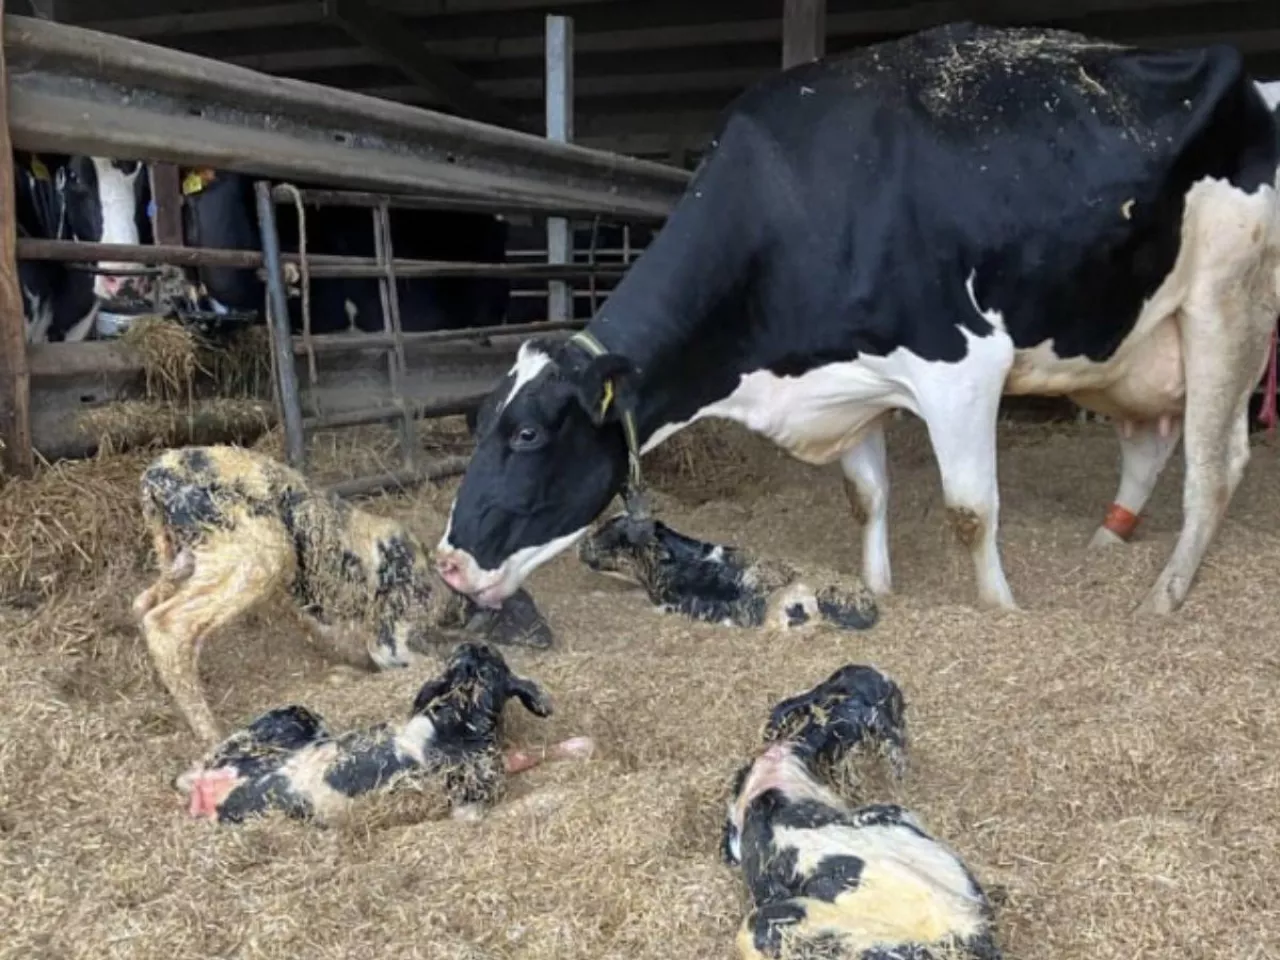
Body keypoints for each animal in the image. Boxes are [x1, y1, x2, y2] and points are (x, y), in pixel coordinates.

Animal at [136, 448, 555, 747]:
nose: (549, 640)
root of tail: (156, 476)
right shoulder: (389, 637)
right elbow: (416, 661)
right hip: (254, 556)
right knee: (167, 624)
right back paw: (212, 734)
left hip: (184, 560)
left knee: (144, 605)